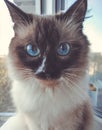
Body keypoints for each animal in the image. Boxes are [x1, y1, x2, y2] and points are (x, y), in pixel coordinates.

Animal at [0, 0, 93, 130]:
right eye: (32, 50)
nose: (47, 71)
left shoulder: (69, 123)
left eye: (63, 49)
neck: (47, 94)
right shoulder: (34, 124)